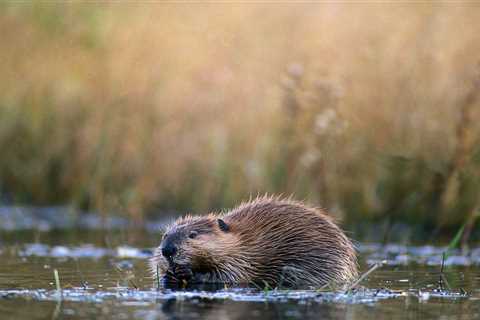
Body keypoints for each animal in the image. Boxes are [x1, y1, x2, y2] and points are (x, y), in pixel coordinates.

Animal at [149, 195, 356, 288]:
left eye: (193, 234)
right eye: (164, 235)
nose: (168, 250)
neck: (243, 241)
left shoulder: (243, 259)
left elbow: (230, 276)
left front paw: (186, 272)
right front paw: (169, 274)